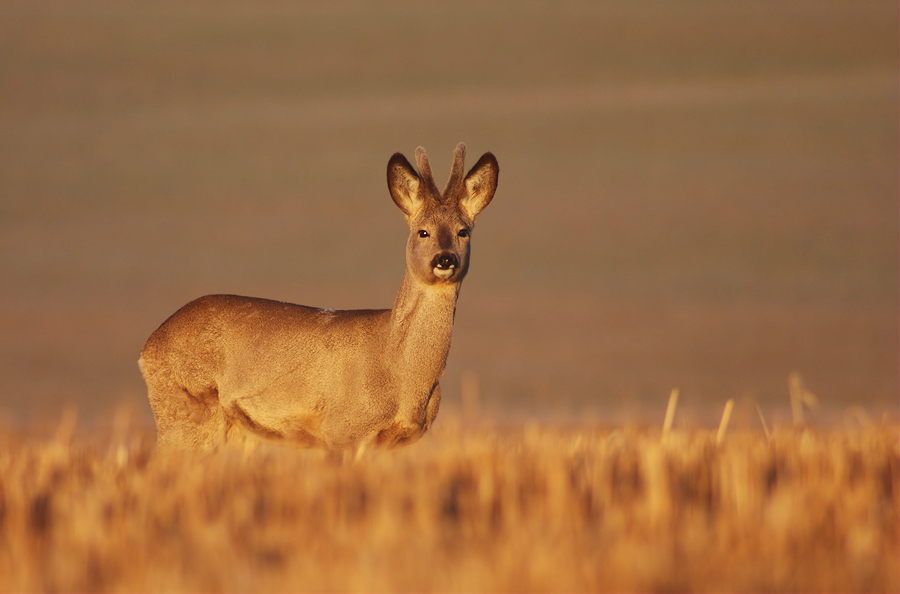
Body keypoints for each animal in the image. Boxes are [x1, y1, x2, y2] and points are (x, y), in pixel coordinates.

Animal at [139, 143, 500, 448]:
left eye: (463, 231)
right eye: (422, 231)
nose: (445, 259)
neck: (399, 372)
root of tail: (148, 348)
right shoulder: (342, 430)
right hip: (185, 412)